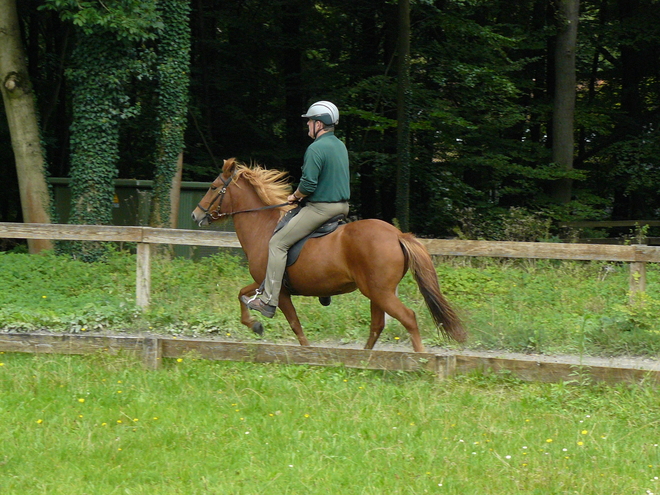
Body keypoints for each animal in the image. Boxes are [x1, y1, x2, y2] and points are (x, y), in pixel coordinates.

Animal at [191, 159, 464, 352]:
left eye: (213, 187)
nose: (195, 215)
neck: (263, 227)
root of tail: (397, 234)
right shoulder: (264, 281)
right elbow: (241, 294)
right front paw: (255, 325)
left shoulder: (278, 290)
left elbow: (295, 325)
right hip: (377, 293)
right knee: (377, 326)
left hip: (380, 292)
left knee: (408, 318)